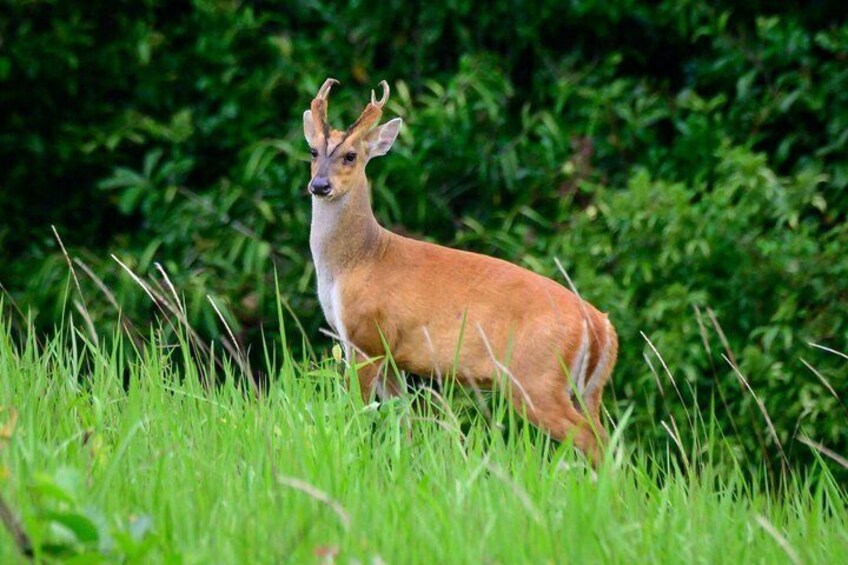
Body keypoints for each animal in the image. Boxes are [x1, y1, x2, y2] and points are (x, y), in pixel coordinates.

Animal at [302, 78, 618, 465]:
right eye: (313, 151)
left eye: (351, 155)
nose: (320, 186)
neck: (357, 262)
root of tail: (601, 326)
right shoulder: (389, 354)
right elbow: (404, 422)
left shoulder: (366, 337)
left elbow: (356, 413)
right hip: (586, 389)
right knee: (606, 437)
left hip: (537, 378)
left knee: (590, 439)